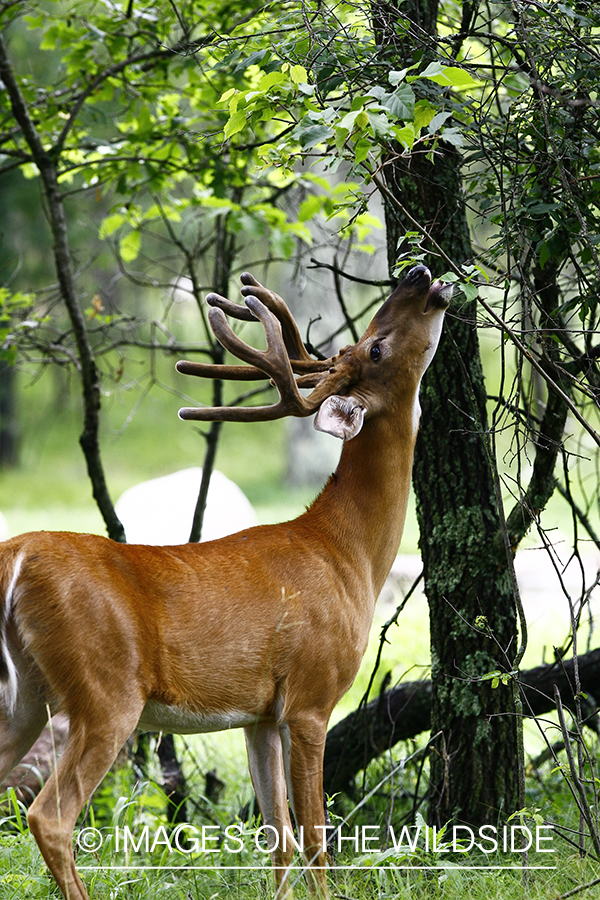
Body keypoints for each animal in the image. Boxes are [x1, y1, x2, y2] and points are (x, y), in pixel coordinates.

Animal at [0, 268, 450, 900]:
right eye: (375, 347)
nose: (417, 274)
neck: (348, 552)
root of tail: (14, 558)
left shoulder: (260, 714)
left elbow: (279, 840)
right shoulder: (311, 695)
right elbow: (316, 840)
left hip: (23, 698)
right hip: (104, 690)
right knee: (50, 816)